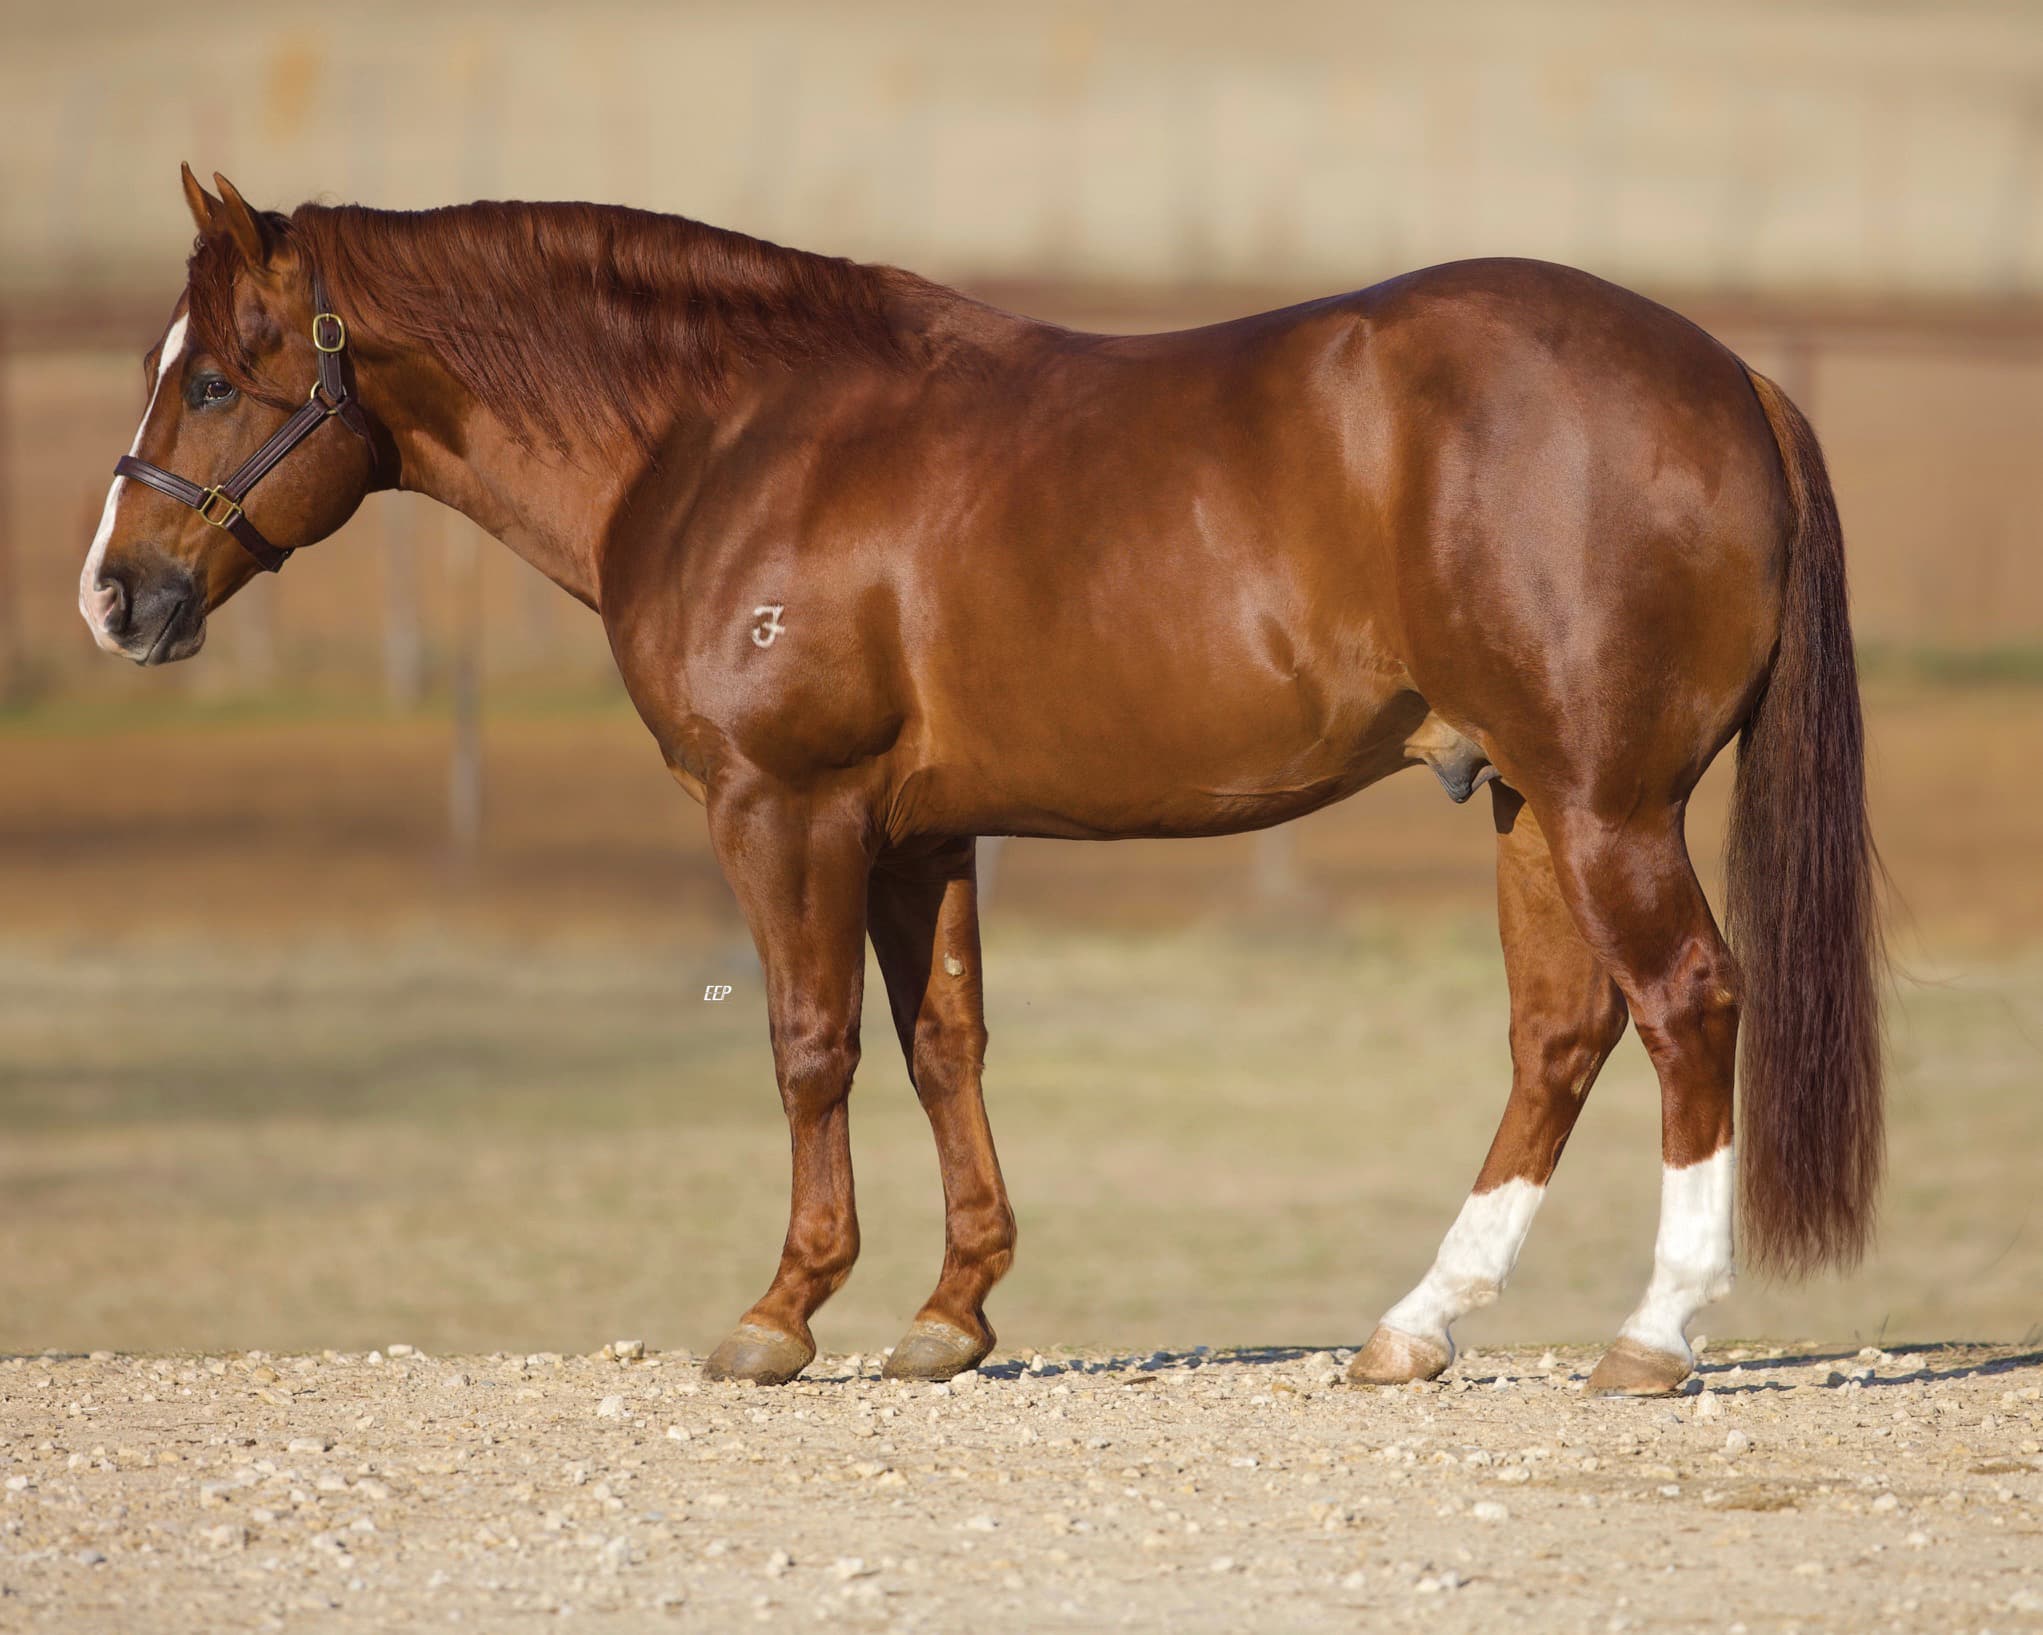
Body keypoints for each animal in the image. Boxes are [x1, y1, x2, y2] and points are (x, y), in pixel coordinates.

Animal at [81, 167, 1882, 1394]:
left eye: (217, 375)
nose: (114, 596)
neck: (732, 436)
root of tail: (1729, 379)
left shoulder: (783, 806)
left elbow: (809, 1046)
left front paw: (781, 1310)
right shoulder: (917, 832)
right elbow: (942, 1046)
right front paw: (950, 1312)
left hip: (1604, 806)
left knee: (1685, 1002)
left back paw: (1651, 1332)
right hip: (1527, 800)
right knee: (1558, 1035)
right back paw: (1414, 1325)